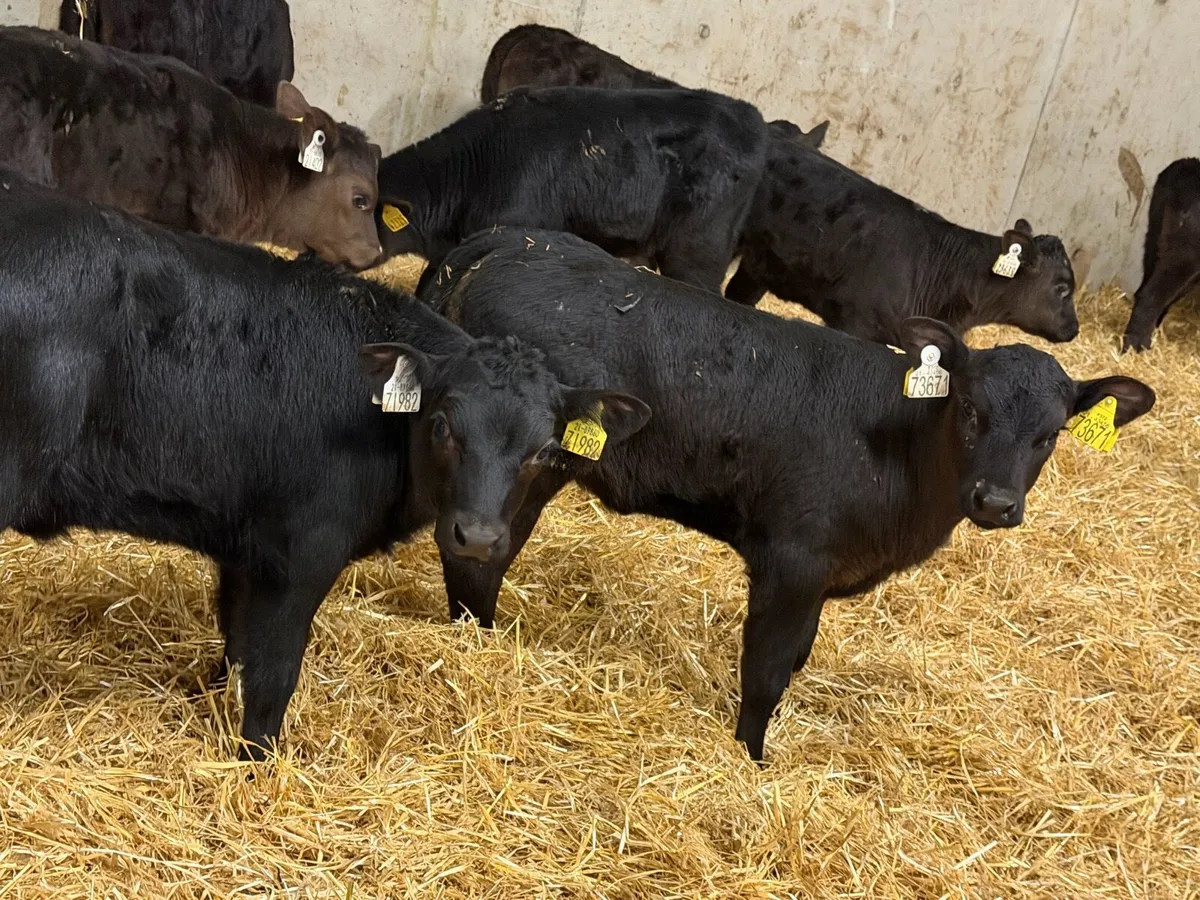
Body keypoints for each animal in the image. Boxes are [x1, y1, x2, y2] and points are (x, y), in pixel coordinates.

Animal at [0, 175, 649, 760]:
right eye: (442, 425)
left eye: (544, 450)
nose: (479, 538)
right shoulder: (303, 552)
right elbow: (273, 673)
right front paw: (257, 766)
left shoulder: (246, 547)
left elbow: (236, 647)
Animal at [419, 228, 1156, 762]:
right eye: (972, 410)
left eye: (1049, 436)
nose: (996, 502)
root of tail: (508, 242)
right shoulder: (793, 561)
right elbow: (769, 668)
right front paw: (751, 757)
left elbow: (798, 656)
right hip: (520, 471)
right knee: (478, 555)